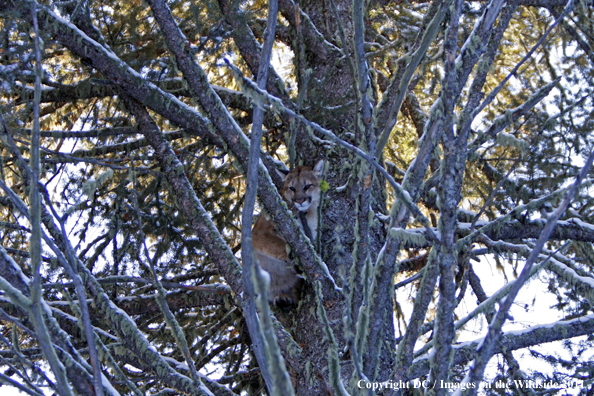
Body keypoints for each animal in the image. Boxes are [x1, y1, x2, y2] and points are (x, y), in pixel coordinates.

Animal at [251, 159, 324, 308]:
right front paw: (294, 259)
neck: (306, 212)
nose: (300, 201)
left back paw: (287, 297)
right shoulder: (260, 233)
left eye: (307, 186)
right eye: (292, 188)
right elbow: (278, 244)